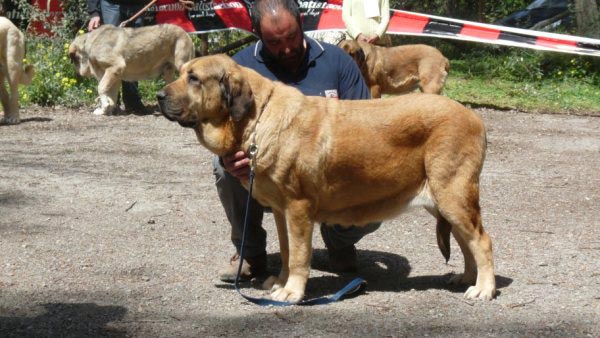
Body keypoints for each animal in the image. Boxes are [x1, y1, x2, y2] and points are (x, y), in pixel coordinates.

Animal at [157, 54, 494, 304]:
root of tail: (474, 117)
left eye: (194, 78)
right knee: (466, 241)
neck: (258, 118)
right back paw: (466, 277)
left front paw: (292, 292)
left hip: (452, 194)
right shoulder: (280, 211)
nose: (159, 95)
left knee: (482, 240)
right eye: (181, 73)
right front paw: (280, 282)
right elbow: (287, 251)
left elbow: (298, 255)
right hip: (443, 202)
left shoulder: (298, 208)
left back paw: (484, 288)